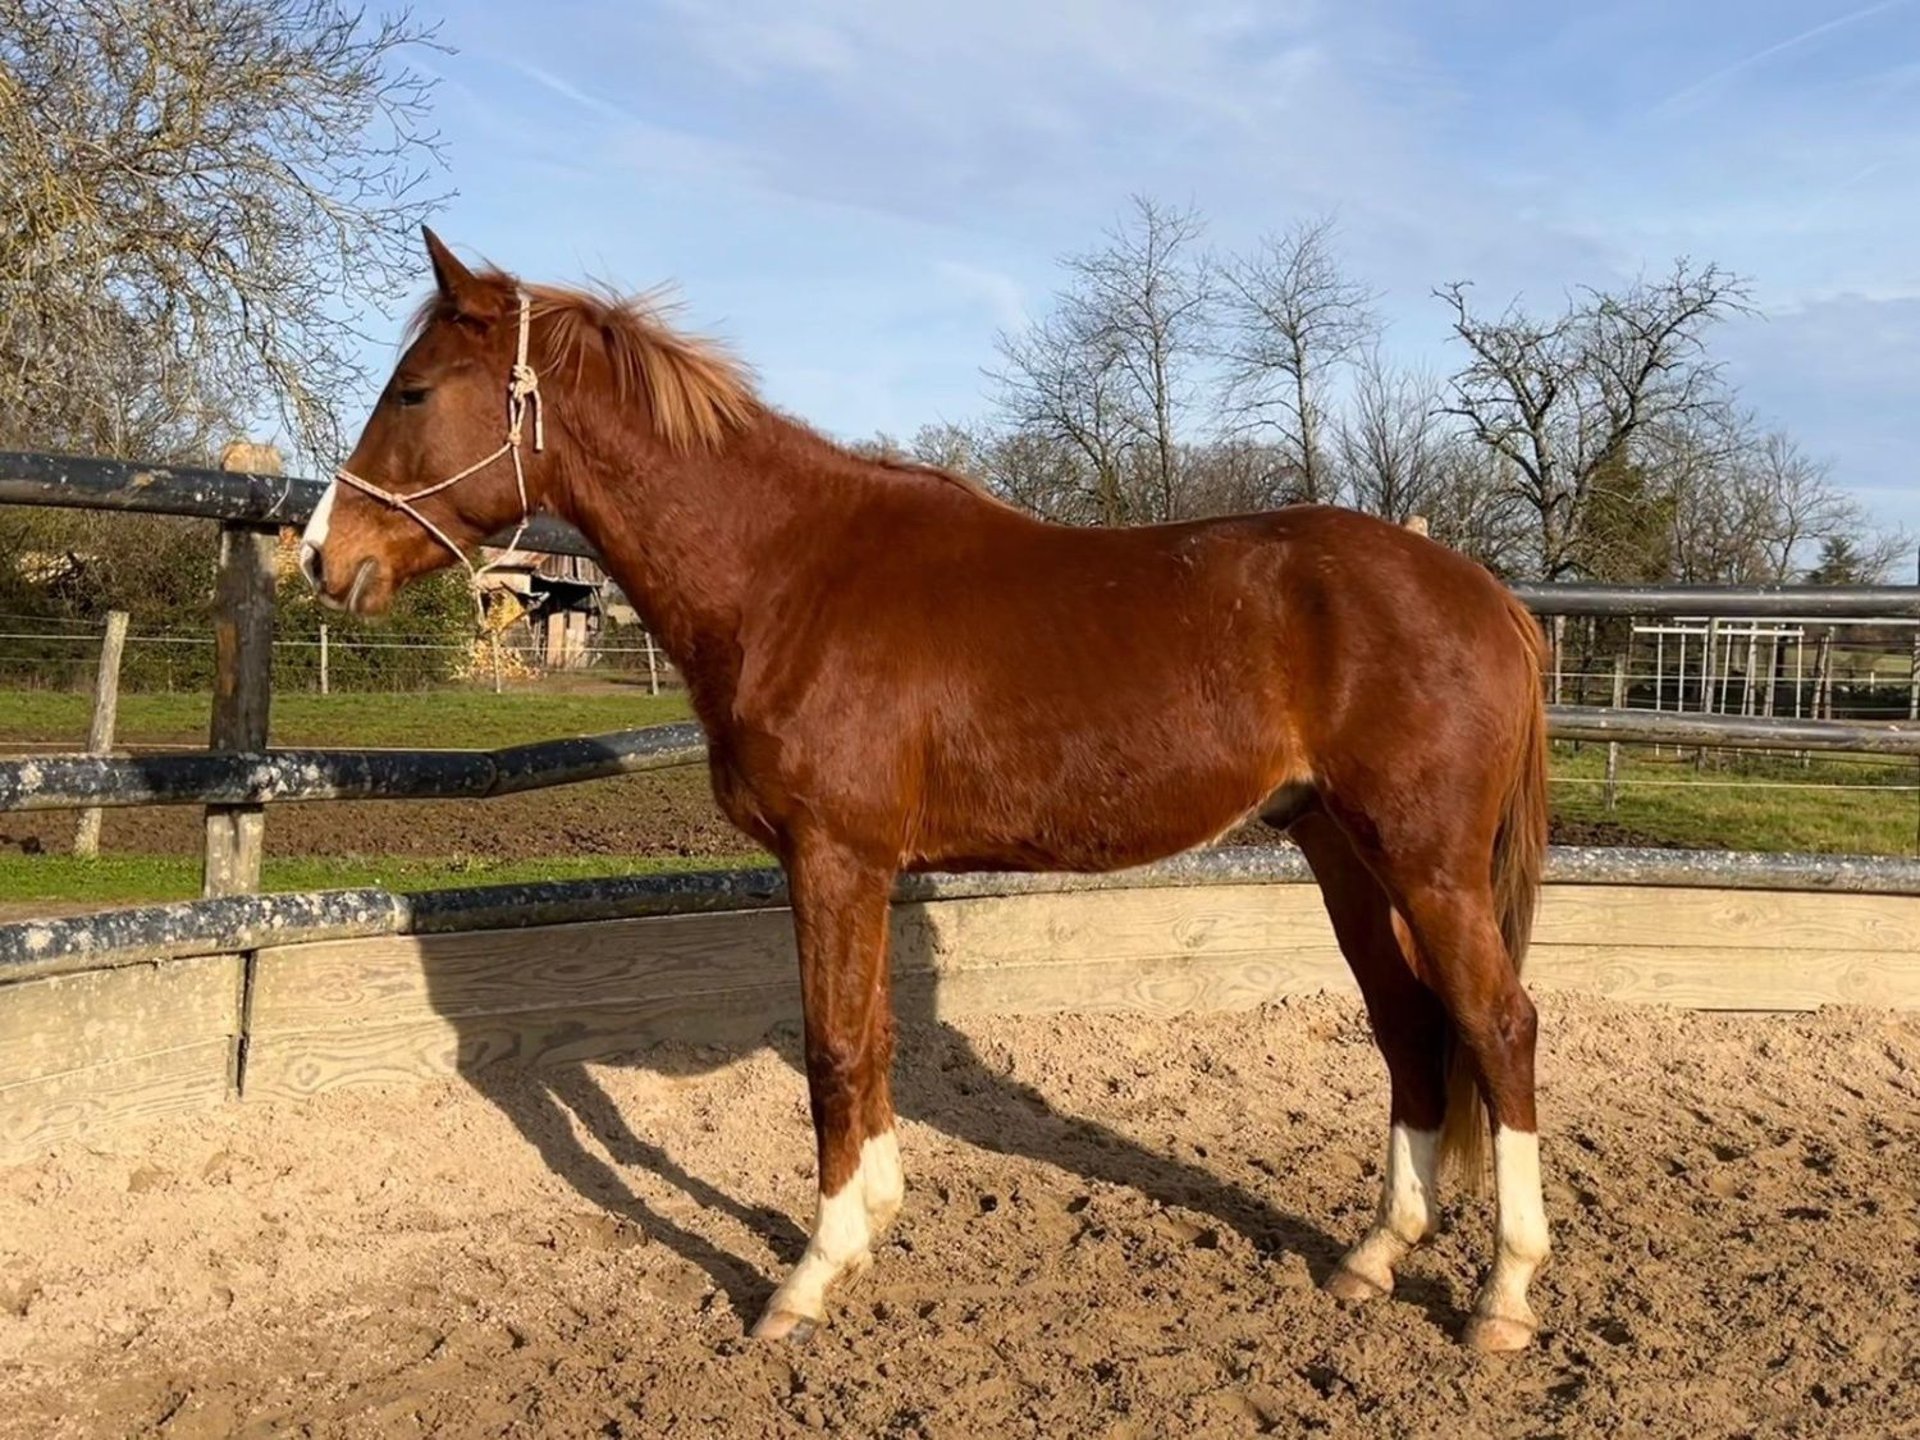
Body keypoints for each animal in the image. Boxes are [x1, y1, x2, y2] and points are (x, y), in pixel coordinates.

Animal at [303, 228, 1559, 1351]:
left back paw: (1503, 1298)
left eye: (414, 391)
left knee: (1499, 1027)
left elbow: (832, 1050)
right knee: (1408, 1027)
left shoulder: (833, 857)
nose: (322, 556)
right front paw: (868, 1230)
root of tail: (1487, 595)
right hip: (1344, 853)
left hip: (1427, 863)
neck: (788, 571)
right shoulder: (863, 869)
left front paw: (807, 1279)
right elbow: (874, 1037)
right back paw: (1373, 1255)